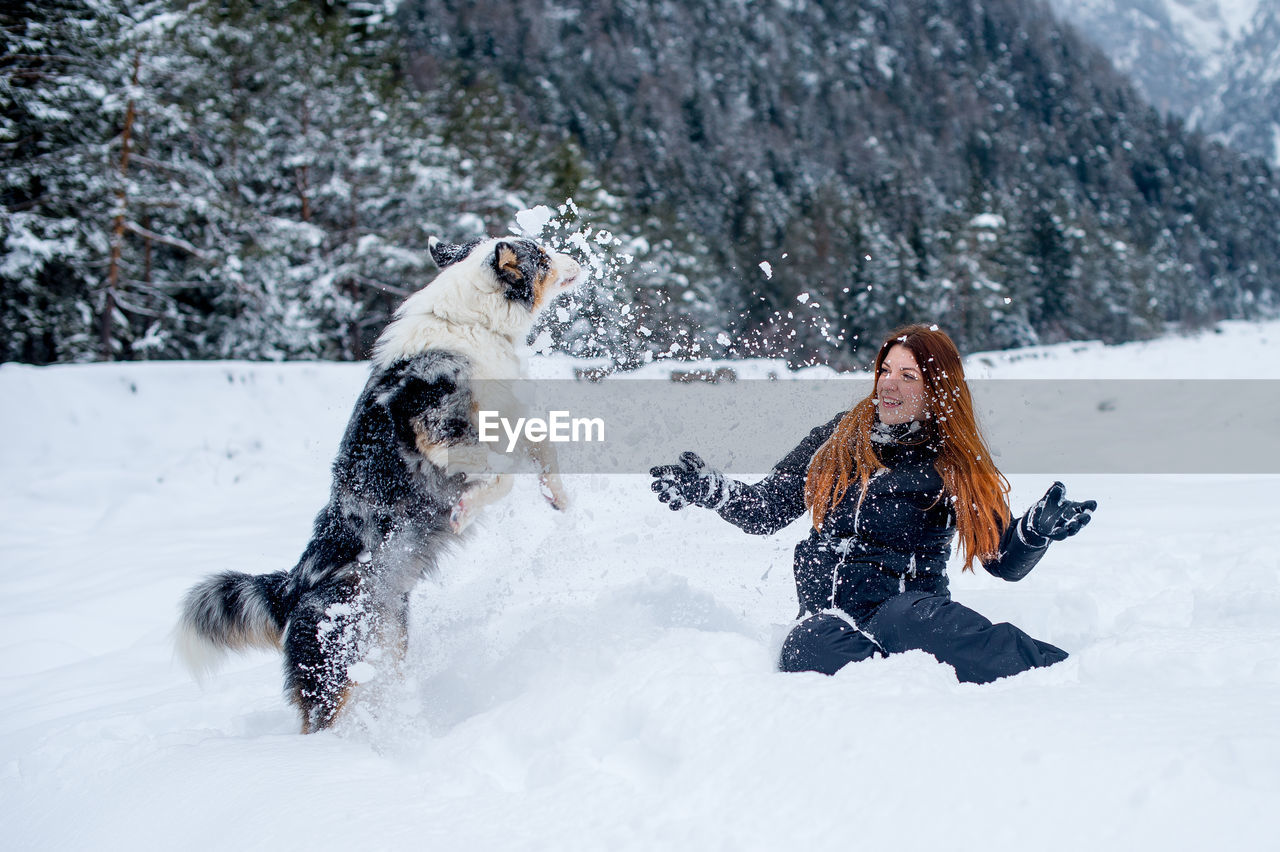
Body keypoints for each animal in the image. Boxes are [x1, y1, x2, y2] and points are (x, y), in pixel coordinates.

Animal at [174, 234, 581, 731]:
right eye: (540, 255)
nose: (576, 260)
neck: (472, 323)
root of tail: (293, 587)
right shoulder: (438, 431)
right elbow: (500, 475)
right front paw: (464, 511)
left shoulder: (510, 418)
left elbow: (544, 448)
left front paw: (558, 497)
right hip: (334, 664)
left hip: (387, 641)